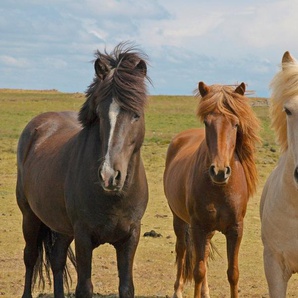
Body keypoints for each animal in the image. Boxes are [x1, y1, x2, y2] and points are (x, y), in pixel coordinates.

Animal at [16, 42, 150, 298]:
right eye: (99, 114)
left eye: (136, 115)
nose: (109, 176)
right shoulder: (83, 236)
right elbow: (84, 287)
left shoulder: (131, 237)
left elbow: (126, 287)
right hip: (30, 217)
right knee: (30, 257)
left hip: (61, 227)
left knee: (57, 259)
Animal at [164, 82, 260, 298]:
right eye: (207, 123)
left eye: (235, 124)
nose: (219, 171)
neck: (220, 189)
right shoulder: (198, 227)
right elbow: (198, 270)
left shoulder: (235, 229)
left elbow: (233, 273)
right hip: (179, 219)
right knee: (182, 249)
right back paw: (177, 290)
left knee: (205, 253)